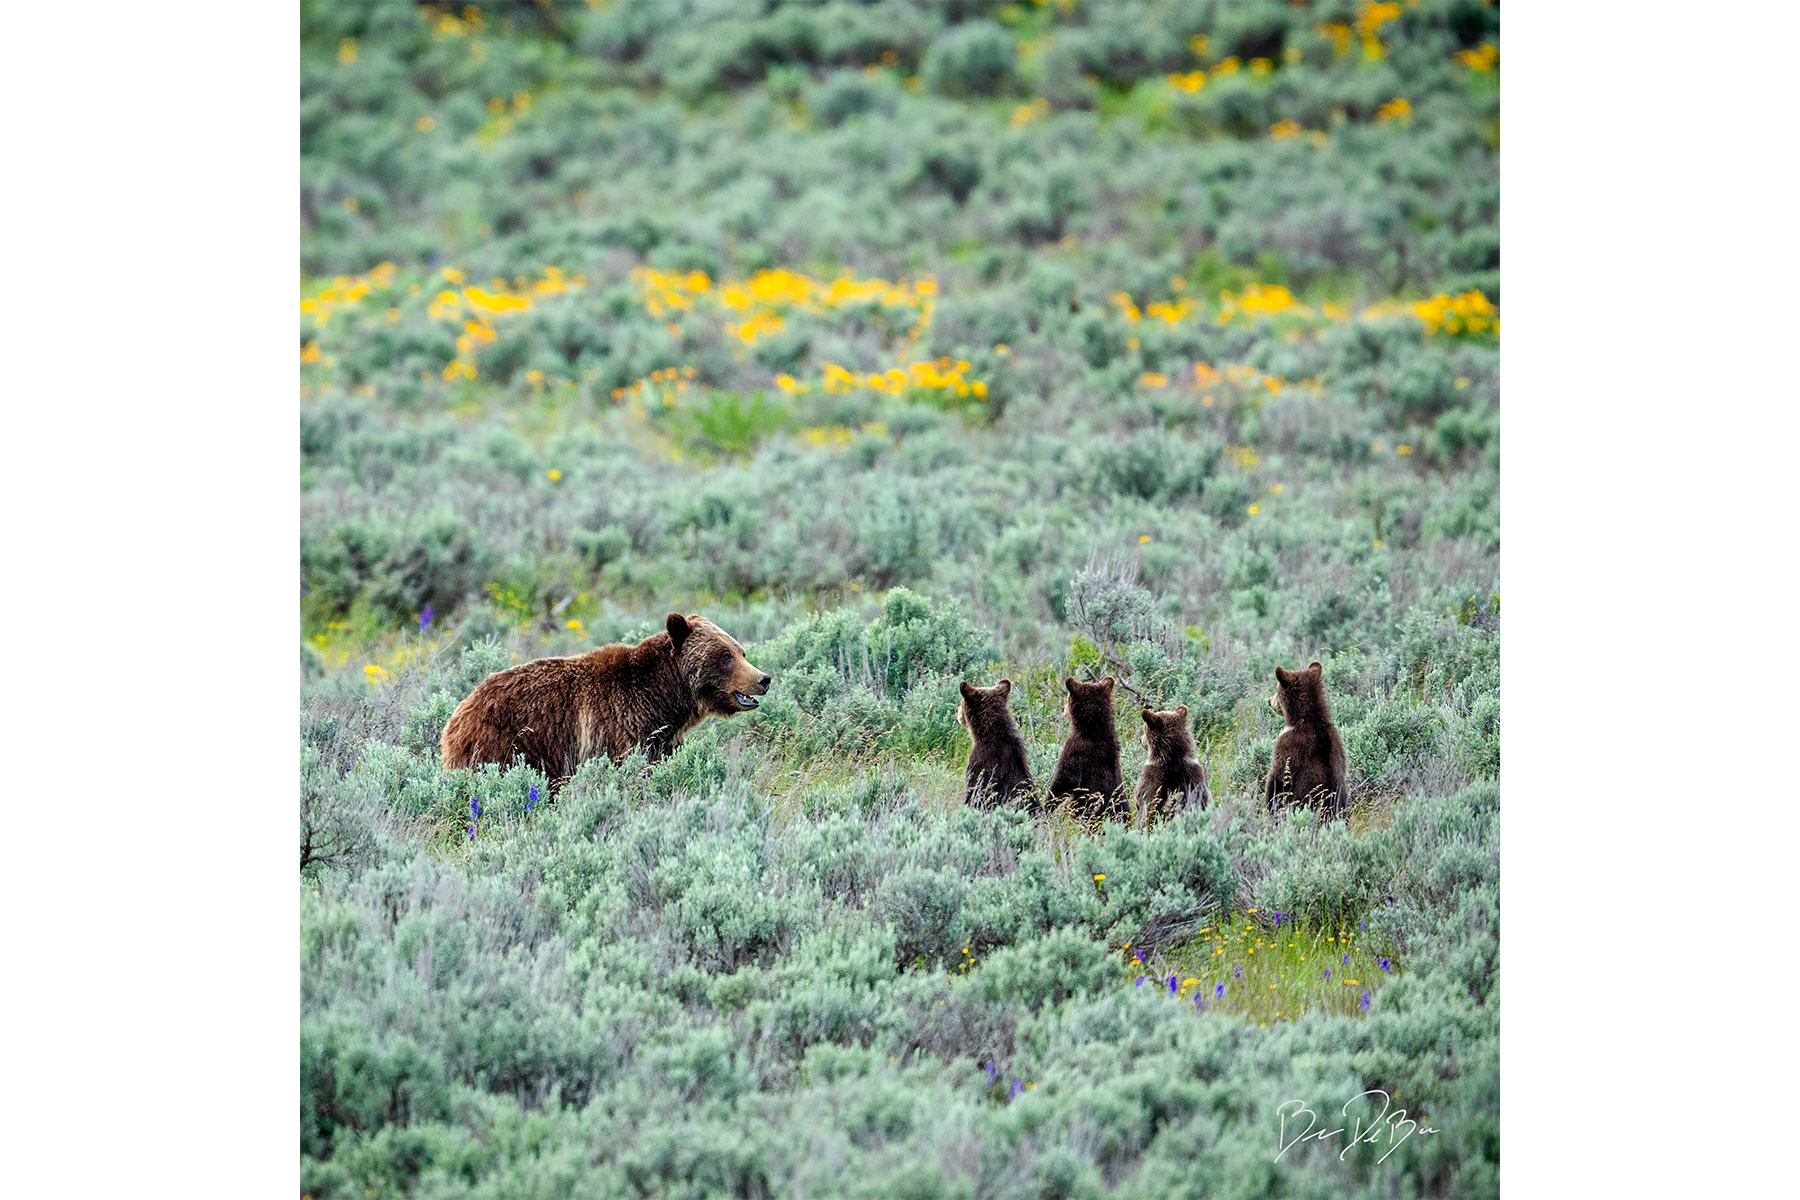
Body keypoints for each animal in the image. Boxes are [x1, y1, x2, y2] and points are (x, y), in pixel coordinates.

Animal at [440, 613, 770, 783]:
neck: (662, 700)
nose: (763, 679)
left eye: (741, 651)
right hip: (500, 745)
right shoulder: (617, 725)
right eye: (725, 656)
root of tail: (456, 715)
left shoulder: (662, 738)